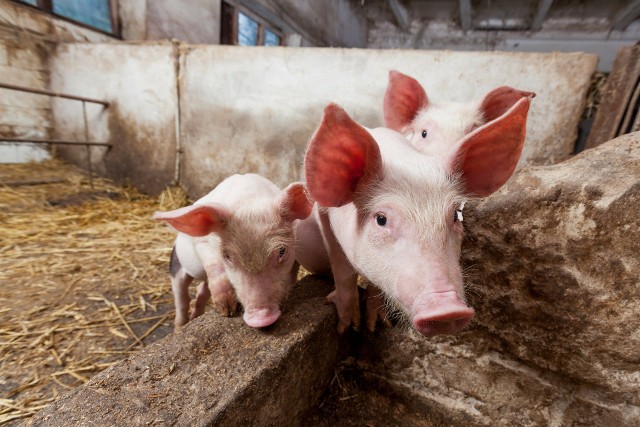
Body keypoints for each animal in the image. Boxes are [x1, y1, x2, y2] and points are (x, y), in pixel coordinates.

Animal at [156, 174, 316, 332]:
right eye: (227, 256)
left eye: (282, 251)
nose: (261, 317)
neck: (250, 200)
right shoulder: (201, 242)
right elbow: (214, 266)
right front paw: (228, 311)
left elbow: (292, 273)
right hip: (176, 264)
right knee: (181, 297)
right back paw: (179, 328)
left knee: (200, 291)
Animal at [298, 95, 532, 336]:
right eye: (381, 219)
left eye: (455, 216)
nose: (448, 310)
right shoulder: (323, 212)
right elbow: (343, 269)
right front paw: (347, 327)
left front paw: (376, 325)